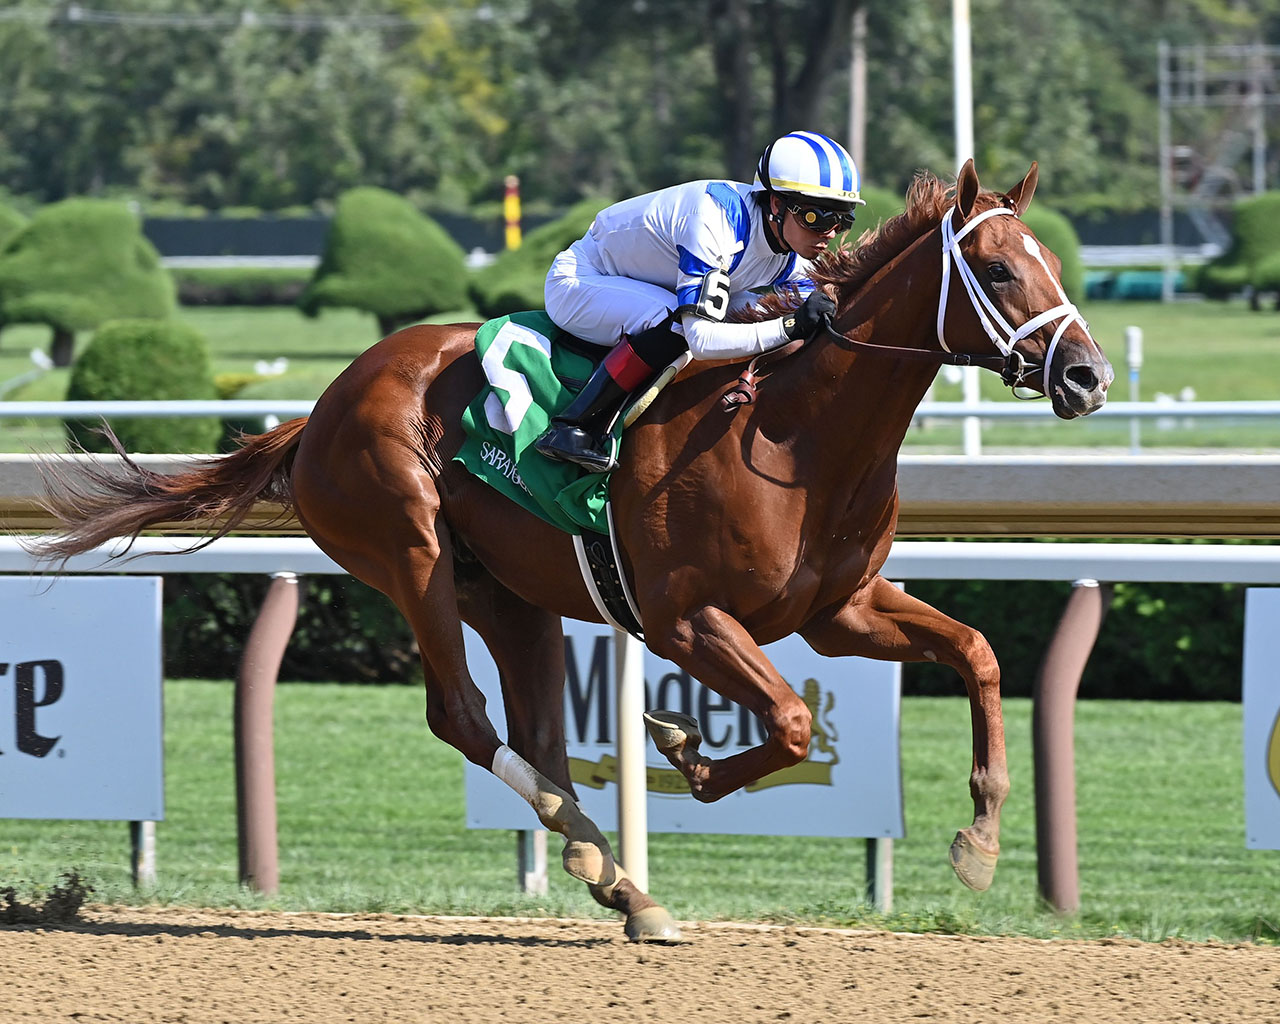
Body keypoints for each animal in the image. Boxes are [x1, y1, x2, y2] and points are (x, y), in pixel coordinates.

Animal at [30, 161, 1111, 942]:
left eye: (1056, 264)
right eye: (1001, 269)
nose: (1087, 376)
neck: (791, 435)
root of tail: (322, 406)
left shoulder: (835, 611)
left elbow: (976, 653)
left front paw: (979, 838)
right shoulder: (684, 619)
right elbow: (795, 721)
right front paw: (686, 753)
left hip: (507, 592)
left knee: (536, 734)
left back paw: (621, 882)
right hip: (411, 551)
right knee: (464, 717)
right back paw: (606, 860)